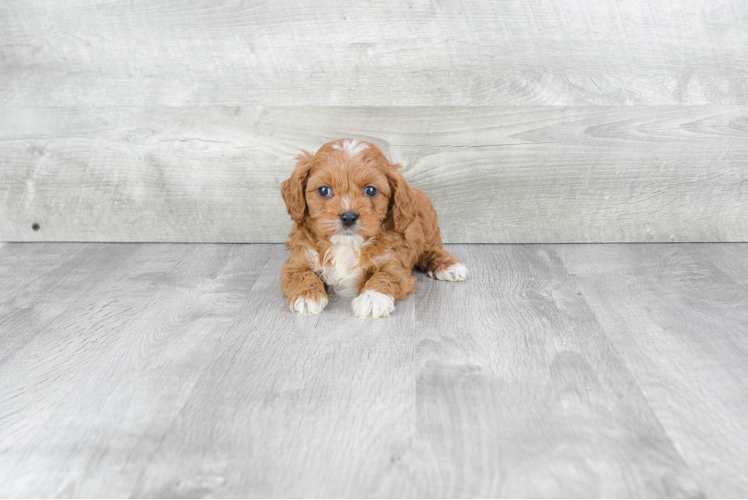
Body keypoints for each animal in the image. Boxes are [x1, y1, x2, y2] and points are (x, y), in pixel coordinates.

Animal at [280, 137, 468, 318]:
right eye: (323, 190)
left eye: (370, 190)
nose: (348, 217)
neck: (346, 245)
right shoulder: (296, 261)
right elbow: (301, 274)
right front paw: (307, 296)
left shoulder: (394, 263)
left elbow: (384, 276)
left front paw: (372, 299)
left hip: (429, 229)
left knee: (431, 250)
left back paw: (450, 266)